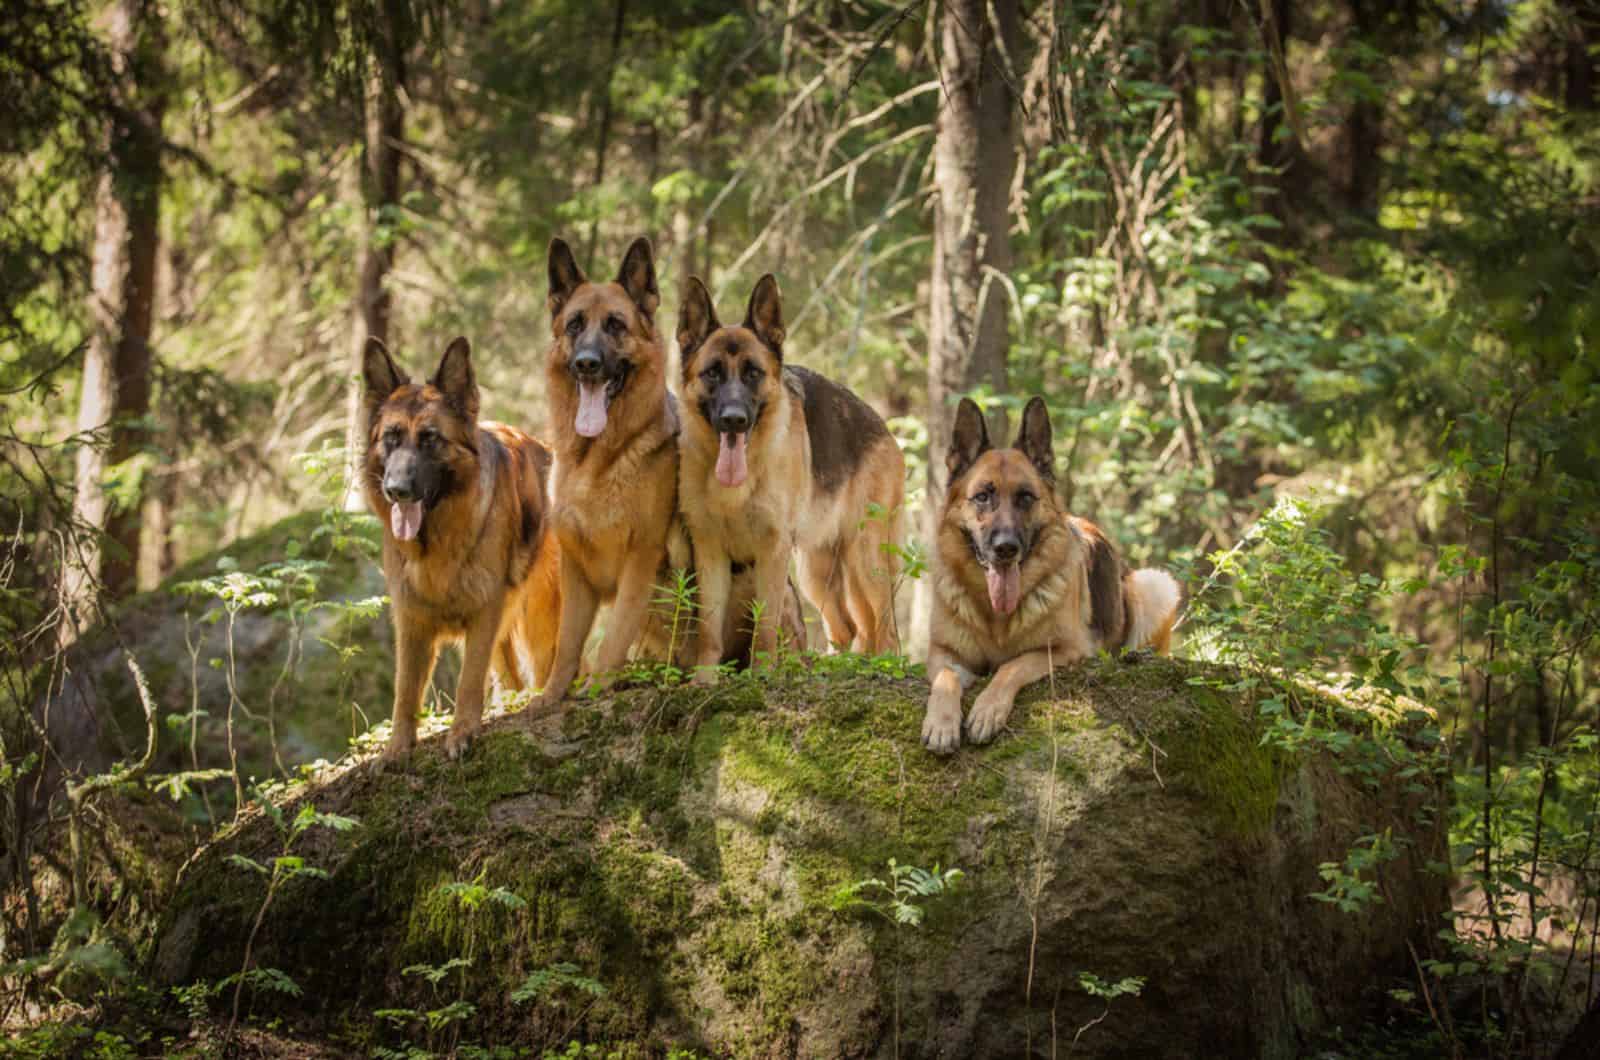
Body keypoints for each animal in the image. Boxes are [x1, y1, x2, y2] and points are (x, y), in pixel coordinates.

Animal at [363, 336, 563, 758]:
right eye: (391, 438)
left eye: (430, 439)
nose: (396, 490)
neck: (436, 541)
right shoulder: (411, 620)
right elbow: (405, 690)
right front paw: (397, 749)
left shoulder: (483, 612)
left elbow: (468, 679)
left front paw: (462, 733)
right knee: (510, 677)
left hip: (539, 617)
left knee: (544, 666)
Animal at [672, 270, 902, 675]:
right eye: (712, 373)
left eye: (753, 373)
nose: (734, 420)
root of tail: (882, 426)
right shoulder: (710, 552)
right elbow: (709, 629)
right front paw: (705, 678)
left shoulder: (772, 552)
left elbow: (765, 625)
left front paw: (762, 675)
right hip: (815, 571)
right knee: (848, 627)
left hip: (866, 557)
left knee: (884, 626)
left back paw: (884, 666)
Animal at [921, 398, 1184, 755]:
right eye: (982, 496)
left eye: (1025, 497)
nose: (1006, 548)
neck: (996, 619)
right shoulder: (942, 652)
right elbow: (945, 679)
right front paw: (941, 723)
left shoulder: (1064, 650)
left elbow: (1011, 666)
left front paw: (987, 710)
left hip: (1155, 586)